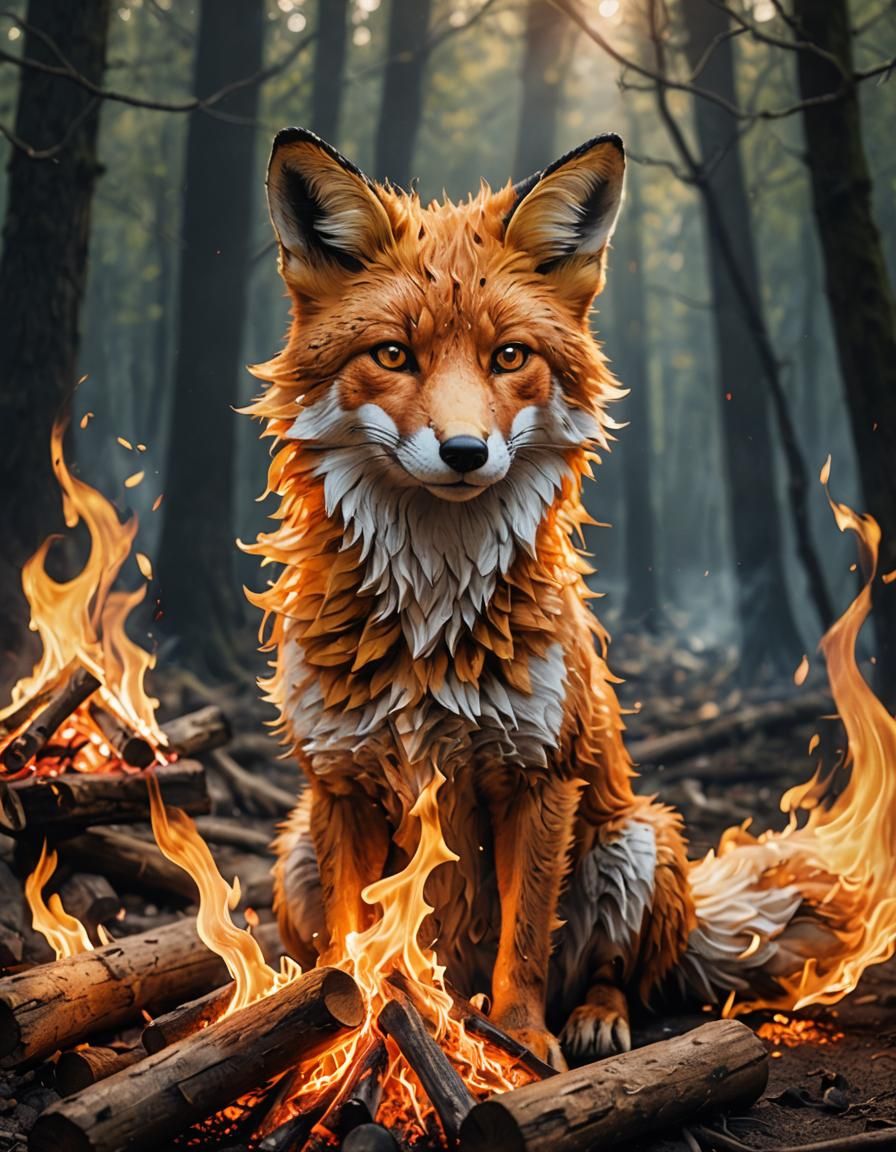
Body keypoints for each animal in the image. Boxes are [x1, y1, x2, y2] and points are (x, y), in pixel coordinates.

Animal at [246, 128, 883, 1069]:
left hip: (636, 840)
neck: (430, 618)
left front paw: (516, 1041)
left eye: (509, 356)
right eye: (394, 354)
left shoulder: (539, 774)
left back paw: (590, 1020)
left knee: (621, 974)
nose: (466, 451)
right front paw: (338, 1044)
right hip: (293, 850)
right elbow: (348, 947)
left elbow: (524, 936)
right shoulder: (340, 783)